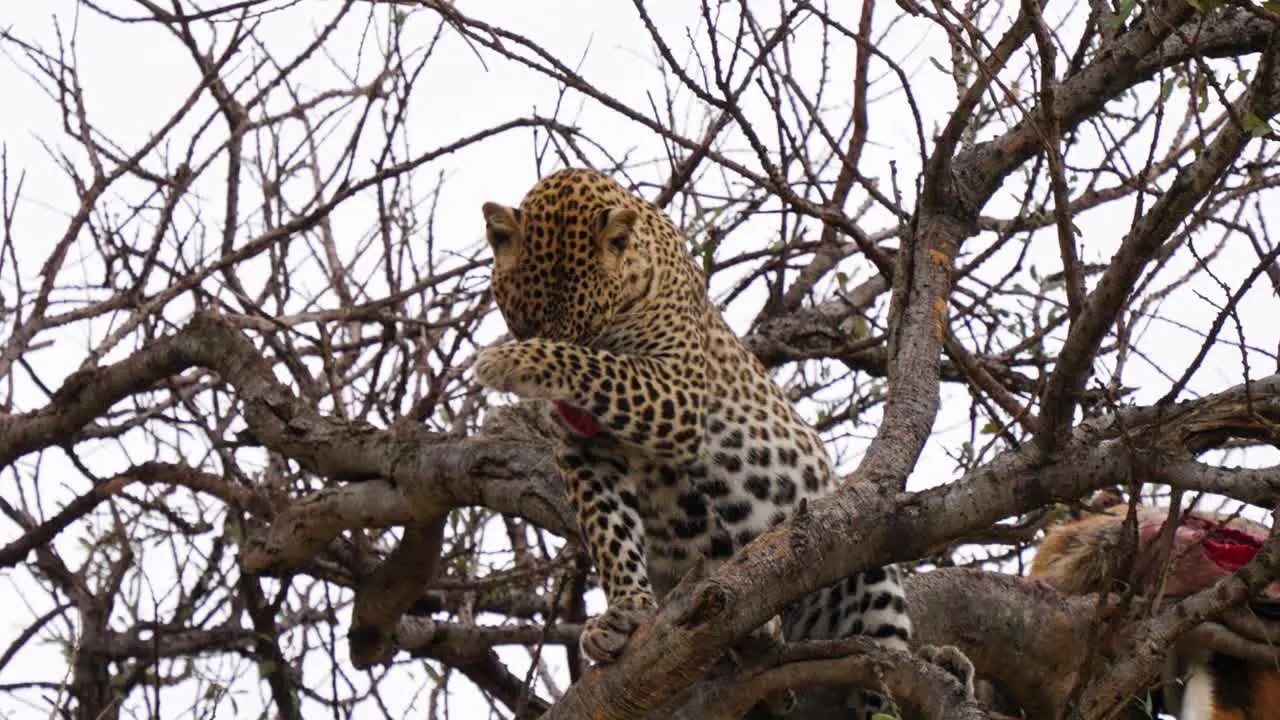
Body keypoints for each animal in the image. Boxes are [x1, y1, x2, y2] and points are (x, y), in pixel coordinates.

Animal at [476, 166, 957, 712]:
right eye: (524, 320)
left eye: (592, 324)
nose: (568, 415)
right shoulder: (588, 454)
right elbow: (611, 531)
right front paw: (629, 612)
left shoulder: (678, 390)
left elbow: (598, 365)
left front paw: (506, 362)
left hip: (870, 586)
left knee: (880, 674)